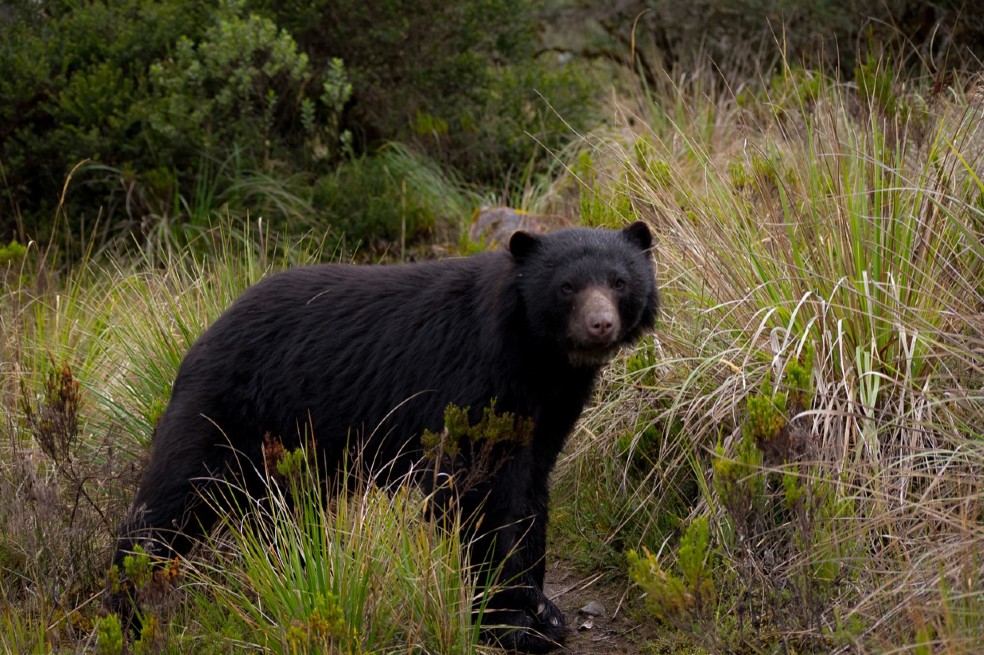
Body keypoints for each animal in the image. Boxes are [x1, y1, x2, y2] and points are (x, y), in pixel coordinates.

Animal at [107, 222, 656, 652]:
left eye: (620, 282)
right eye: (567, 287)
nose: (600, 324)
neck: (540, 360)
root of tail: (203, 337)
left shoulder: (550, 411)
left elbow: (529, 495)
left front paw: (543, 612)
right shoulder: (470, 386)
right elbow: (478, 496)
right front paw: (510, 621)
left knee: (280, 522)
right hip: (223, 415)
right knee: (169, 506)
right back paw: (127, 612)